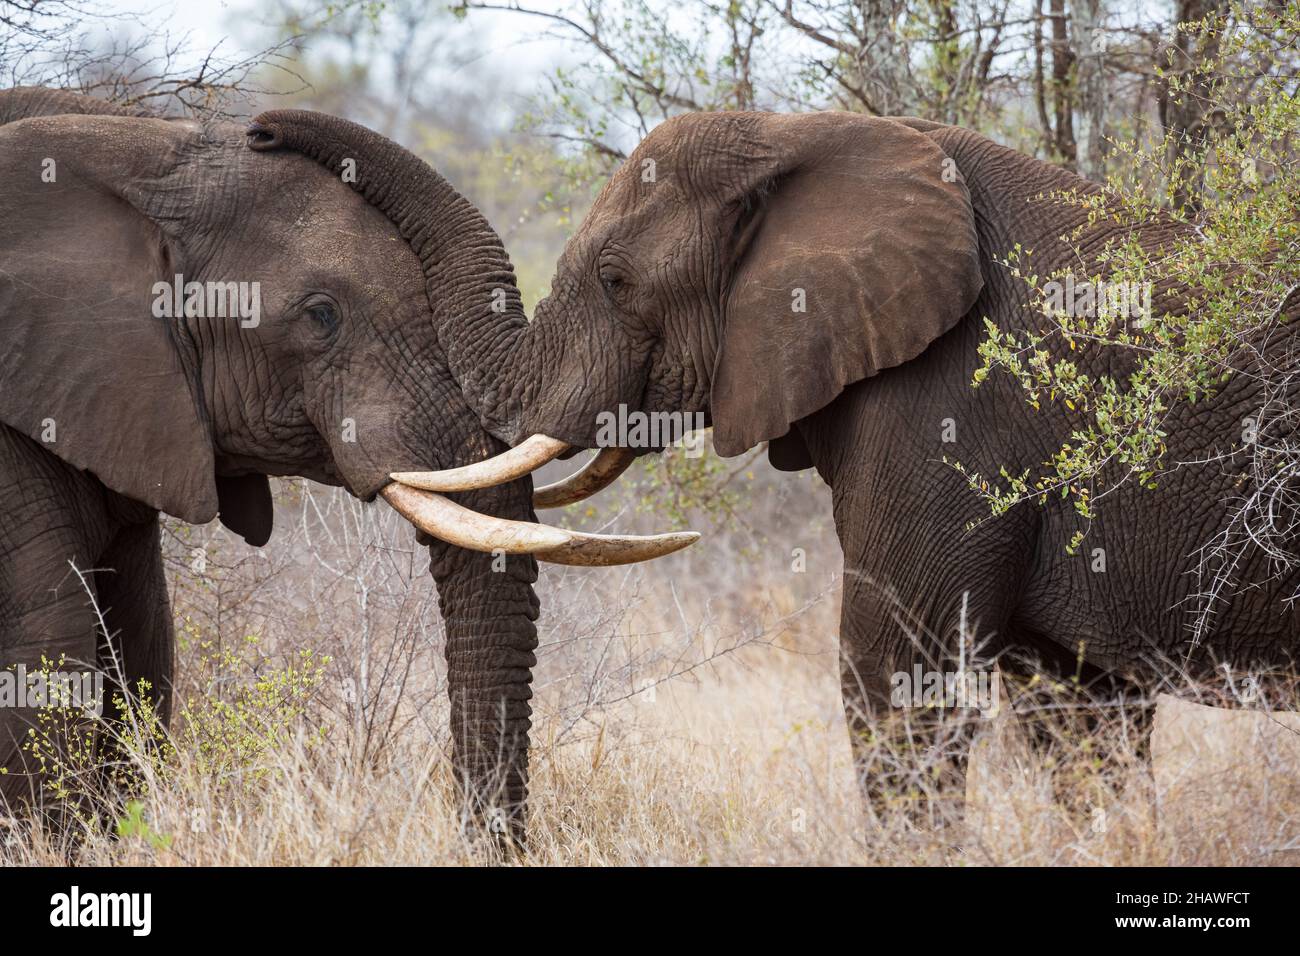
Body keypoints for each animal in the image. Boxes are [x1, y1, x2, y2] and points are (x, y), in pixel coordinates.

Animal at [335, 110, 1300, 801]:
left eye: (615, 281)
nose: (286, 129)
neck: (799, 135)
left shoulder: (951, 405)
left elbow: (897, 682)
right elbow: (1078, 715)